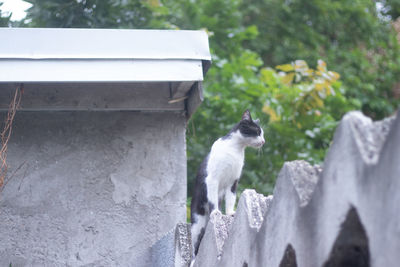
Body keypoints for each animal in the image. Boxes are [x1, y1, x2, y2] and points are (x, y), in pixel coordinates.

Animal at [189, 110, 264, 262]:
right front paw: (216, 212)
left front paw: (230, 213)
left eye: (263, 134)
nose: (264, 141)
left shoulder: (233, 182)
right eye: (257, 131)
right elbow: (213, 200)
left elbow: (231, 199)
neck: (236, 149)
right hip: (197, 221)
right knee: (194, 245)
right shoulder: (212, 179)